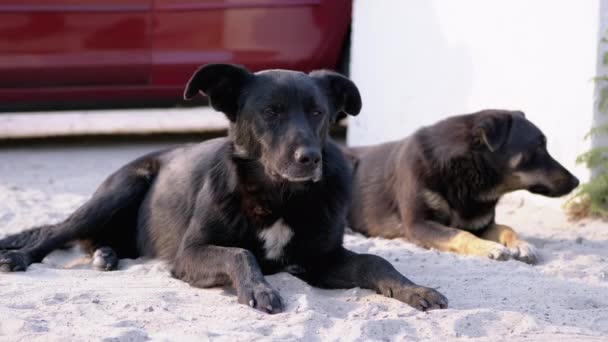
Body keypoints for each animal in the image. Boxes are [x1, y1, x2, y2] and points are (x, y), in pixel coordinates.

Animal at [0, 64, 446, 312]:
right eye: (271, 112)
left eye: (318, 113)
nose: (310, 159)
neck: (279, 197)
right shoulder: (189, 254)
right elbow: (240, 253)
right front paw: (258, 289)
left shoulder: (321, 260)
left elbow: (376, 261)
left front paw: (414, 290)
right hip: (120, 189)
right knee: (57, 232)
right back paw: (21, 256)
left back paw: (106, 255)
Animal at [346, 109, 580, 264]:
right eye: (539, 147)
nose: (577, 182)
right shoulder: (419, 224)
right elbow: (460, 234)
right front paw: (488, 247)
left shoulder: (483, 225)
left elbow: (508, 228)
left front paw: (521, 244)